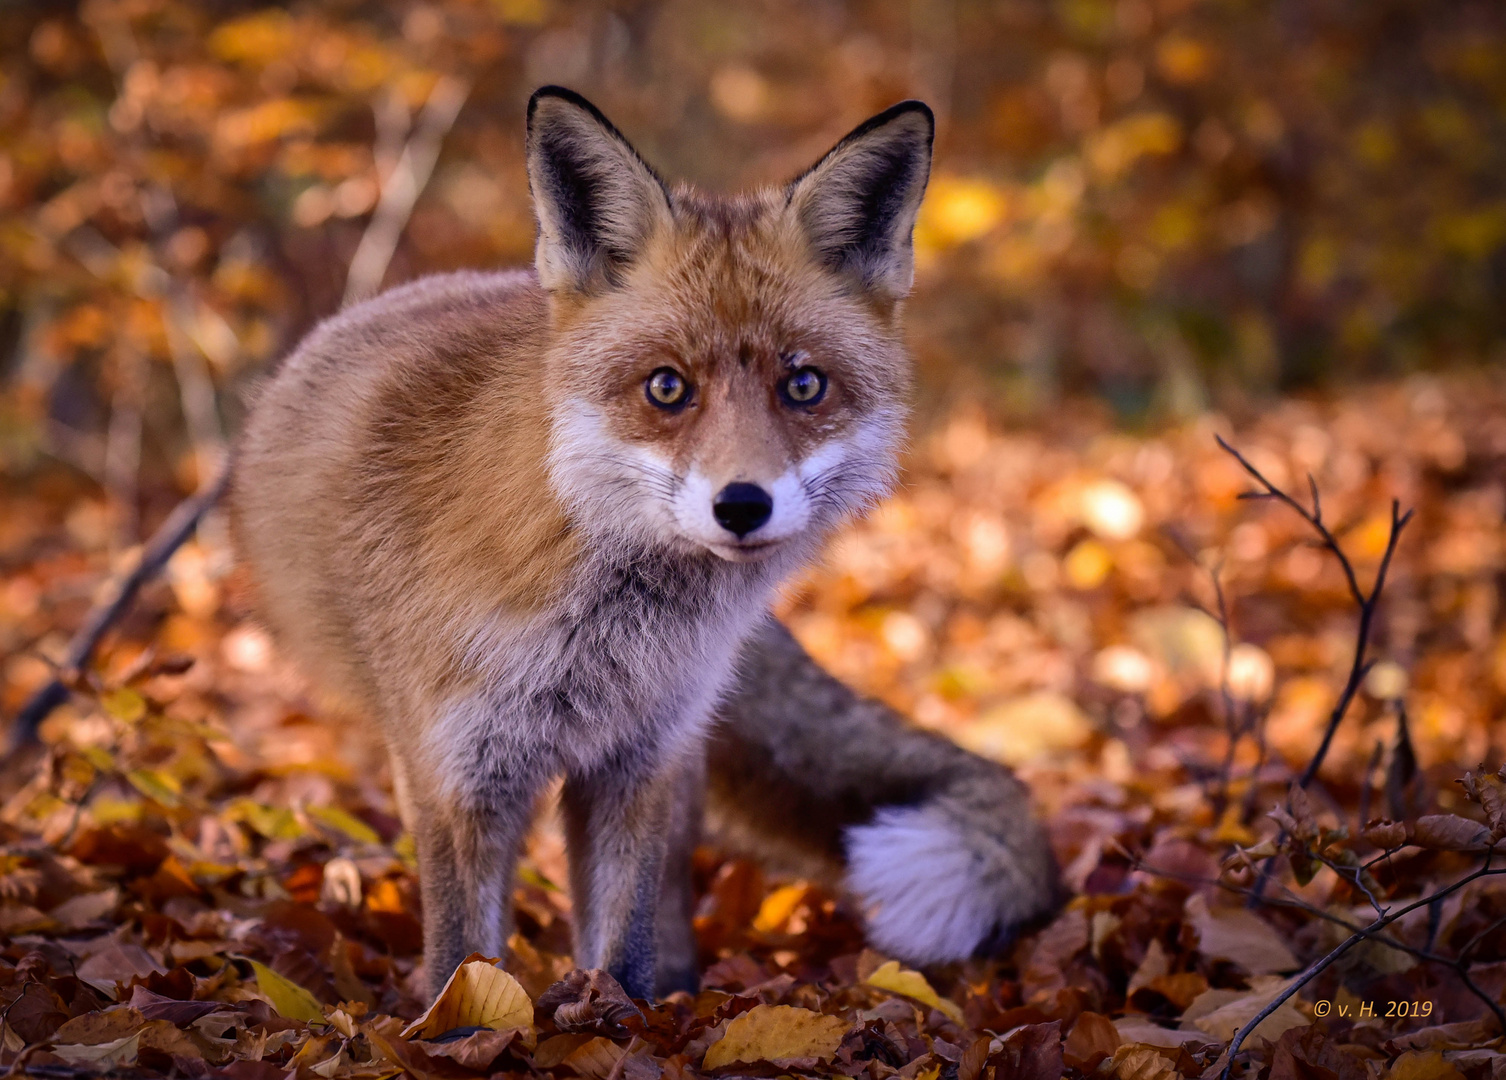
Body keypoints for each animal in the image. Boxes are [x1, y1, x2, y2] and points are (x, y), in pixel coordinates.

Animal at [234, 88, 1060, 1000]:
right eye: (667, 387)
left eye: (803, 384)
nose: (743, 505)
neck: (601, 631)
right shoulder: (455, 770)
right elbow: (461, 956)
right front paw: (462, 1019)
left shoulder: (640, 756)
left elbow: (623, 943)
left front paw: (624, 1017)